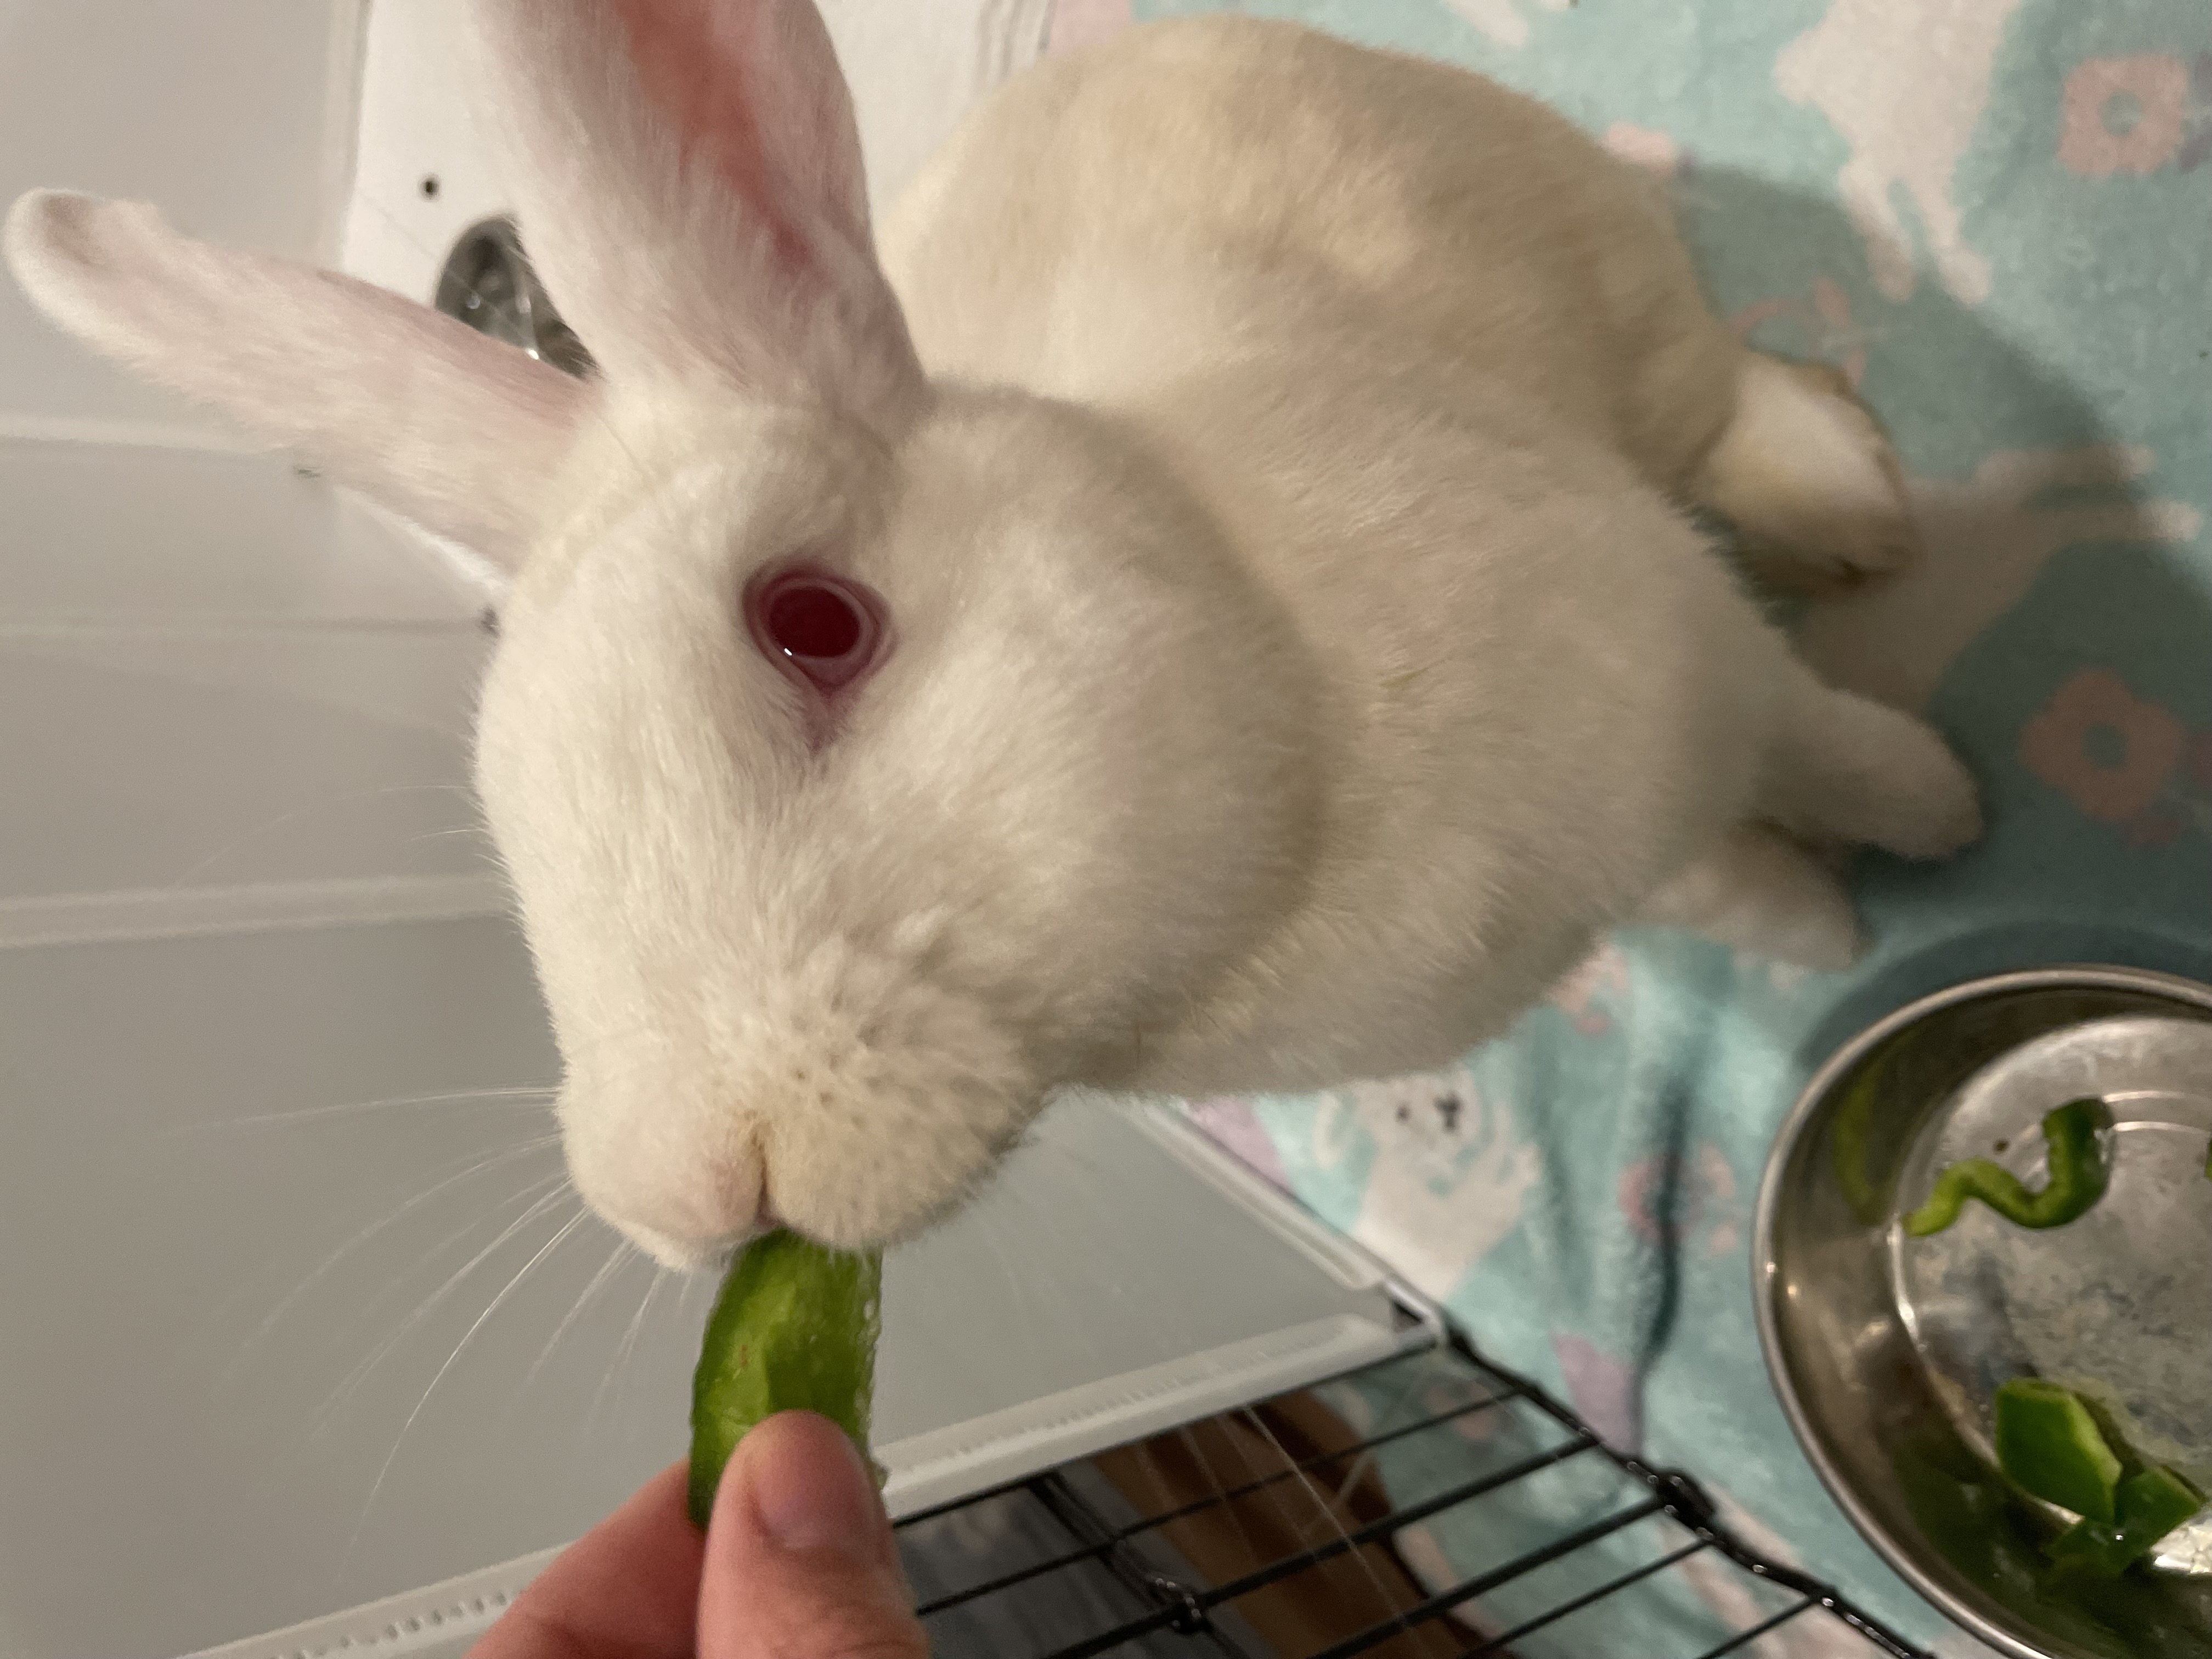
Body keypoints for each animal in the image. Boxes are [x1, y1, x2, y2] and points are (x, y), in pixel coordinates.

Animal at [3, 1, 1980, 1268]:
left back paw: (1855, 505)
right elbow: (1718, 880)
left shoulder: (1691, 668)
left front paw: (1928, 844)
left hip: (1618, 295)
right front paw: (1835, 920)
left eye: (812, 625)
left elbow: (1817, 753)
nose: (686, 1196)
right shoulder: (1651, 808)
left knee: (1727, 392)